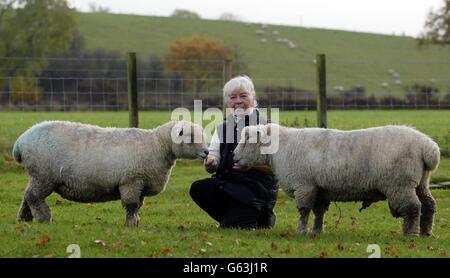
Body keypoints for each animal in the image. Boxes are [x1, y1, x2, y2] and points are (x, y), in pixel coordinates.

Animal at [13, 120, 208, 226]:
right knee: (33, 197)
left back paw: (24, 219)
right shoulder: (131, 181)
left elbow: (138, 205)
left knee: (27, 196)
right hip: (43, 174)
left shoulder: (140, 184)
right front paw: (131, 225)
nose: (206, 152)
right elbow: (131, 205)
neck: (157, 146)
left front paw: (136, 222)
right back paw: (43, 218)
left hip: (38, 176)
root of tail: (20, 142)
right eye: (190, 137)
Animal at [234, 125, 442, 236]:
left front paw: (301, 231)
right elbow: (318, 212)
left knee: (413, 207)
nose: (234, 158)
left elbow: (303, 211)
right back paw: (426, 232)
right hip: (421, 182)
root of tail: (428, 147)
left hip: (400, 184)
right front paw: (317, 232)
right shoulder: (319, 189)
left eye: (247, 140)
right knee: (429, 204)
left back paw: (411, 233)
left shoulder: (304, 186)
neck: (281, 149)